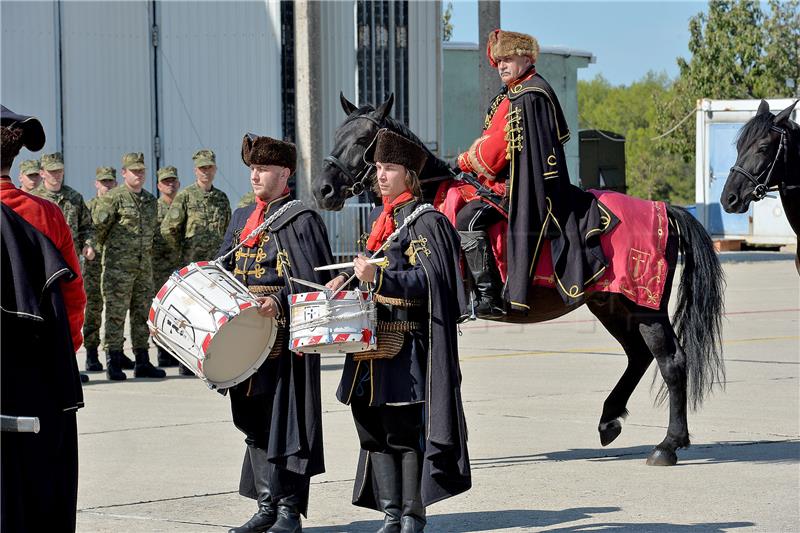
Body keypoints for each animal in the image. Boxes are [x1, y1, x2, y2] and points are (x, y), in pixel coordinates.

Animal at [316, 93, 728, 464]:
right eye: (336, 135)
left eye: (361, 141)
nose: (323, 190)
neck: (423, 197)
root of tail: (664, 210)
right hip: (611, 306)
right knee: (639, 355)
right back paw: (610, 419)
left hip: (645, 307)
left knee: (671, 362)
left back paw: (668, 444)